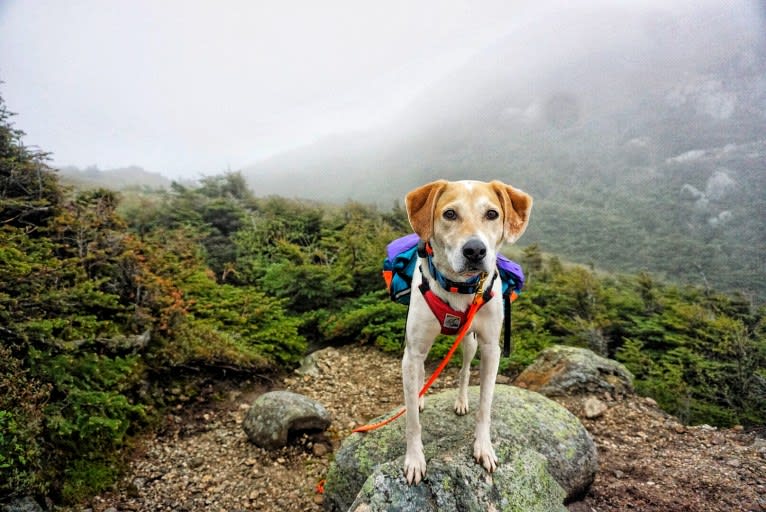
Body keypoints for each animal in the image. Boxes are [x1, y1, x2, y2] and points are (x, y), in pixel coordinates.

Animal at [402, 179, 536, 484]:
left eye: (492, 214)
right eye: (450, 214)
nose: (475, 250)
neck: (459, 287)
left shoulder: (490, 349)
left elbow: (485, 405)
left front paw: (484, 447)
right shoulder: (412, 352)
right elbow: (412, 421)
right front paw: (415, 459)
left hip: (470, 343)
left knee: (464, 372)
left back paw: (461, 400)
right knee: (423, 374)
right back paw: (420, 396)